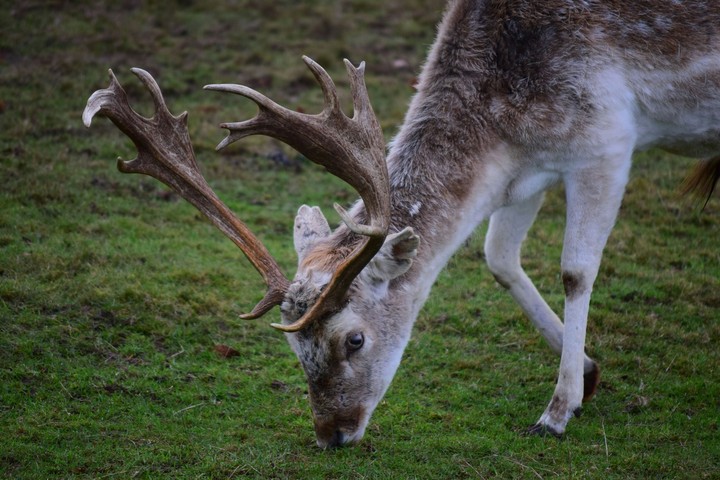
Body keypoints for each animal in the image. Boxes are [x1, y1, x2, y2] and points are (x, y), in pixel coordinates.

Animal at [83, 0, 720, 448]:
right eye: (293, 347)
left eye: (354, 339)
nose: (333, 436)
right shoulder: (528, 169)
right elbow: (498, 258)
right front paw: (587, 374)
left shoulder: (607, 143)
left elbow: (576, 272)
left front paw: (557, 411)